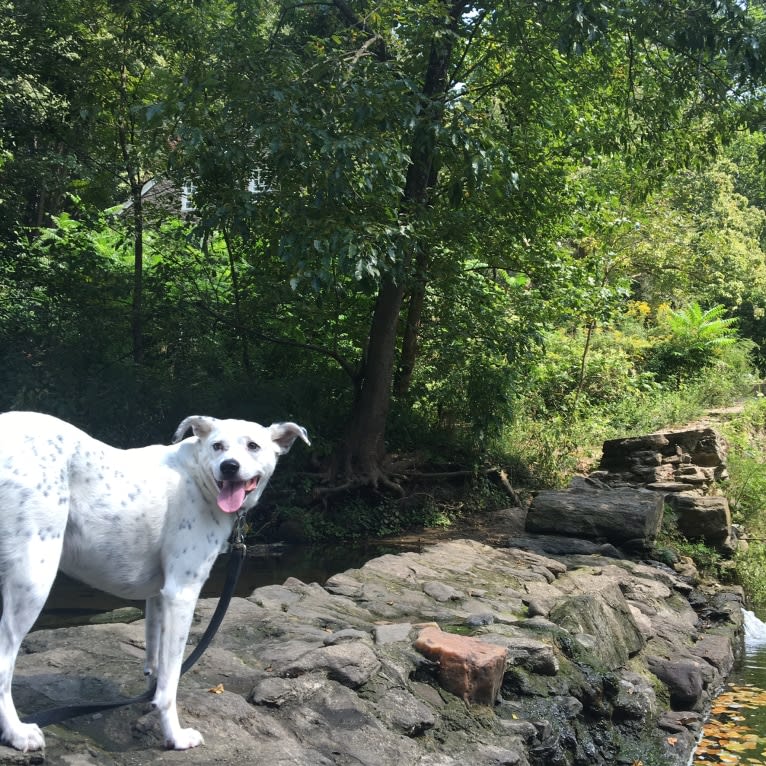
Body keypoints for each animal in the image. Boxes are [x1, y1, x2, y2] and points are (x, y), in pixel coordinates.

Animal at [0, 412, 308, 752]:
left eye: (253, 445)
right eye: (217, 446)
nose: (229, 466)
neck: (198, 476)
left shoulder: (159, 597)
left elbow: (156, 662)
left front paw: (149, 704)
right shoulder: (181, 593)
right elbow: (171, 680)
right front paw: (175, 735)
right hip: (34, 579)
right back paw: (17, 733)